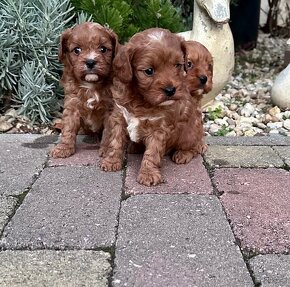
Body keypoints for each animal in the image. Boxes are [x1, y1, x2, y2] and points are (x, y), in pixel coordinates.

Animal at [50, 21, 118, 159]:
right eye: (77, 50)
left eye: (103, 49)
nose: (90, 62)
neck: (90, 85)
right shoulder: (72, 104)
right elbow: (68, 128)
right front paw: (63, 148)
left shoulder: (110, 109)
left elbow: (109, 131)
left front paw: (107, 149)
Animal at [99, 28, 206, 187]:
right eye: (149, 71)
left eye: (178, 65)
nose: (170, 90)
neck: (141, 100)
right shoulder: (119, 116)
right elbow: (115, 142)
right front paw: (111, 161)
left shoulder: (159, 128)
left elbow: (152, 153)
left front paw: (148, 174)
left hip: (190, 133)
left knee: (194, 147)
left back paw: (183, 154)